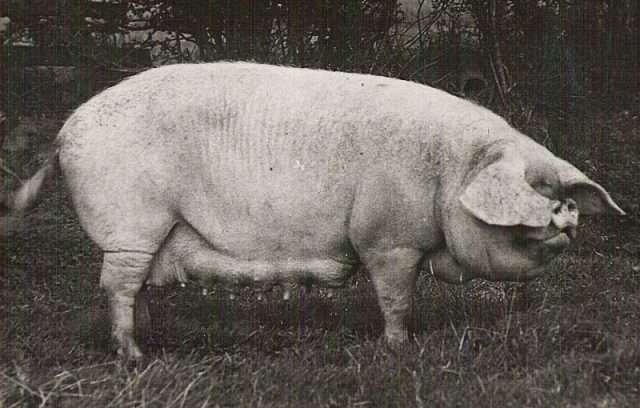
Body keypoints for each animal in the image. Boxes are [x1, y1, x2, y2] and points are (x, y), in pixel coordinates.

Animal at [3, 62, 624, 359]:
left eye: (553, 183)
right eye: (532, 187)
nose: (568, 208)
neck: (447, 172)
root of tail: (65, 131)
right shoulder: (387, 239)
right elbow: (395, 297)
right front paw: (400, 347)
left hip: (149, 232)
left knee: (135, 287)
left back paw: (148, 341)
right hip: (131, 224)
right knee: (117, 285)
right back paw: (132, 355)